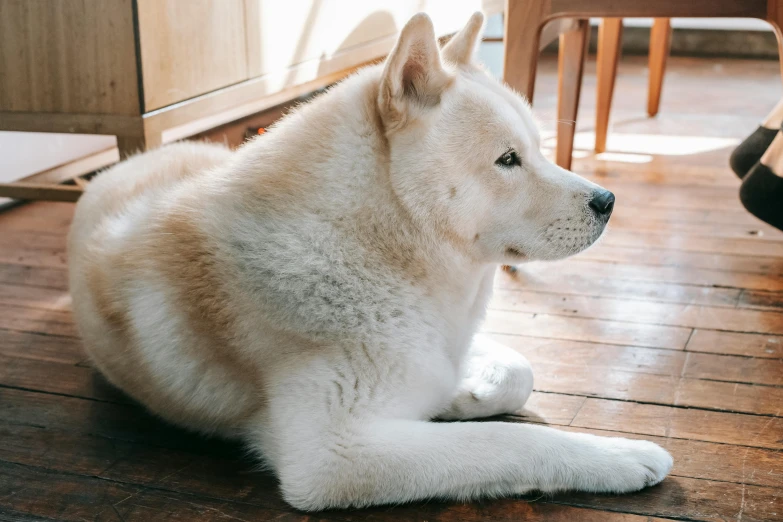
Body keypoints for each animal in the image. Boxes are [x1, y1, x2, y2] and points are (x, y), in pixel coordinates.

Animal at [69, 11, 672, 508]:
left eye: (540, 149)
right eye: (507, 159)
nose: (608, 202)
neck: (380, 246)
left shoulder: (437, 341)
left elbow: (517, 371)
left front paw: (463, 395)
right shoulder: (333, 457)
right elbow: (511, 439)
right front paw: (618, 457)